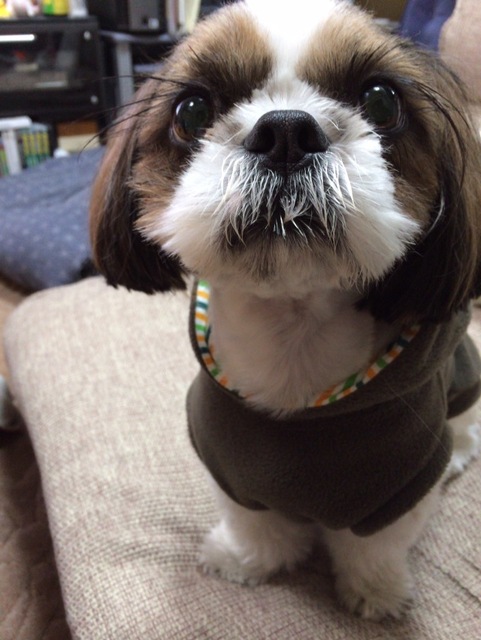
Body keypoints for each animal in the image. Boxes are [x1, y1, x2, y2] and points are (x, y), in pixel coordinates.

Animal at [90, 0, 481, 620]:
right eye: (191, 110)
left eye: (382, 101)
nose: (287, 132)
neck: (292, 338)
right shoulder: (226, 463)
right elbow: (254, 522)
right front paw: (246, 560)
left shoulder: (406, 480)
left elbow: (376, 542)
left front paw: (374, 590)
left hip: (464, 376)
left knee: (464, 421)